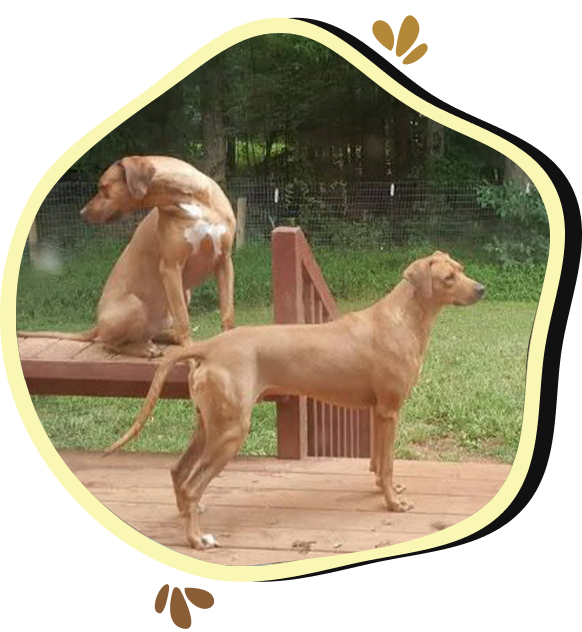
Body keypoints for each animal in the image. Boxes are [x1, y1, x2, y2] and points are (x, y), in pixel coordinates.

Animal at [18, 156, 237, 358]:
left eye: (103, 187)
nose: (82, 213)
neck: (192, 200)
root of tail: (98, 324)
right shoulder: (171, 268)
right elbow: (184, 321)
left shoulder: (224, 261)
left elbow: (227, 313)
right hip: (133, 305)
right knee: (108, 343)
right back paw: (145, 349)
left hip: (181, 296)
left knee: (154, 334)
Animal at [102, 251, 486, 548]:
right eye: (449, 277)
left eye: (462, 268)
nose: (481, 289)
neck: (402, 319)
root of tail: (209, 346)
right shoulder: (390, 410)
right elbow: (388, 463)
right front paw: (393, 503)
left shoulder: (378, 412)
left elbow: (379, 462)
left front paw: (384, 489)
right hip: (231, 431)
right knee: (193, 484)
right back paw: (197, 538)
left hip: (208, 424)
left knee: (179, 472)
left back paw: (188, 515)